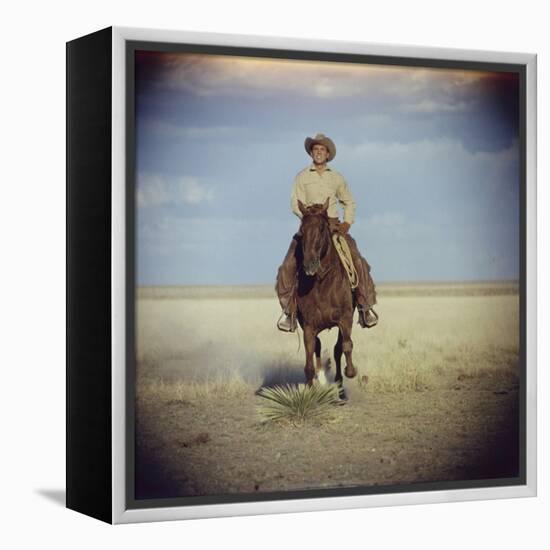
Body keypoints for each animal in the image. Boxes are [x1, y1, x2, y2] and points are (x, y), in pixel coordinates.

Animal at [300, 201, 360, 398]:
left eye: (321, 228)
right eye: (301, 230)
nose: (310, 264)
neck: (323, 283)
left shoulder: (345, 318)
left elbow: (344, 346)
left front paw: (350, 372)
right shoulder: (308, 326)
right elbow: (309, 363)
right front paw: (310, 392)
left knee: (338, 349)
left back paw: (340, 388)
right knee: (318, 347)